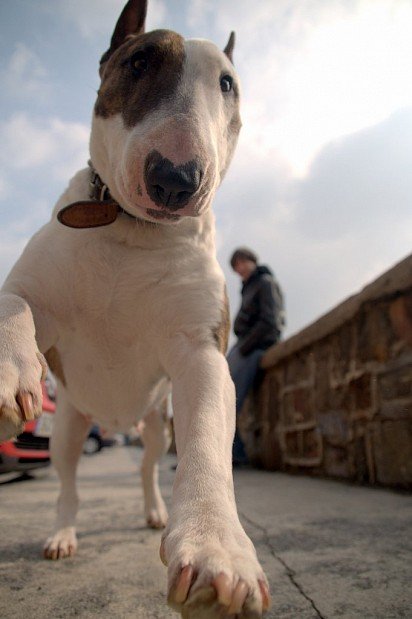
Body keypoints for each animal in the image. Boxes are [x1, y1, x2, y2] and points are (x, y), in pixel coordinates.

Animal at [0, 2, 270, 616]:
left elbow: (207, 442)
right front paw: (9, 370)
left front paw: (218, 552)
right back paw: (62, 534)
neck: (132, 230)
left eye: (227, 84)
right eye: (140, 60)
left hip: (154, 426)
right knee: (69, 484)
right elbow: (14, 303)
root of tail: (114, 421)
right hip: (68, 427)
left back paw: (153, 511)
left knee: (147, 468)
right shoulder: (34, 296)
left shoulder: (200, 350)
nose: (176, 179)